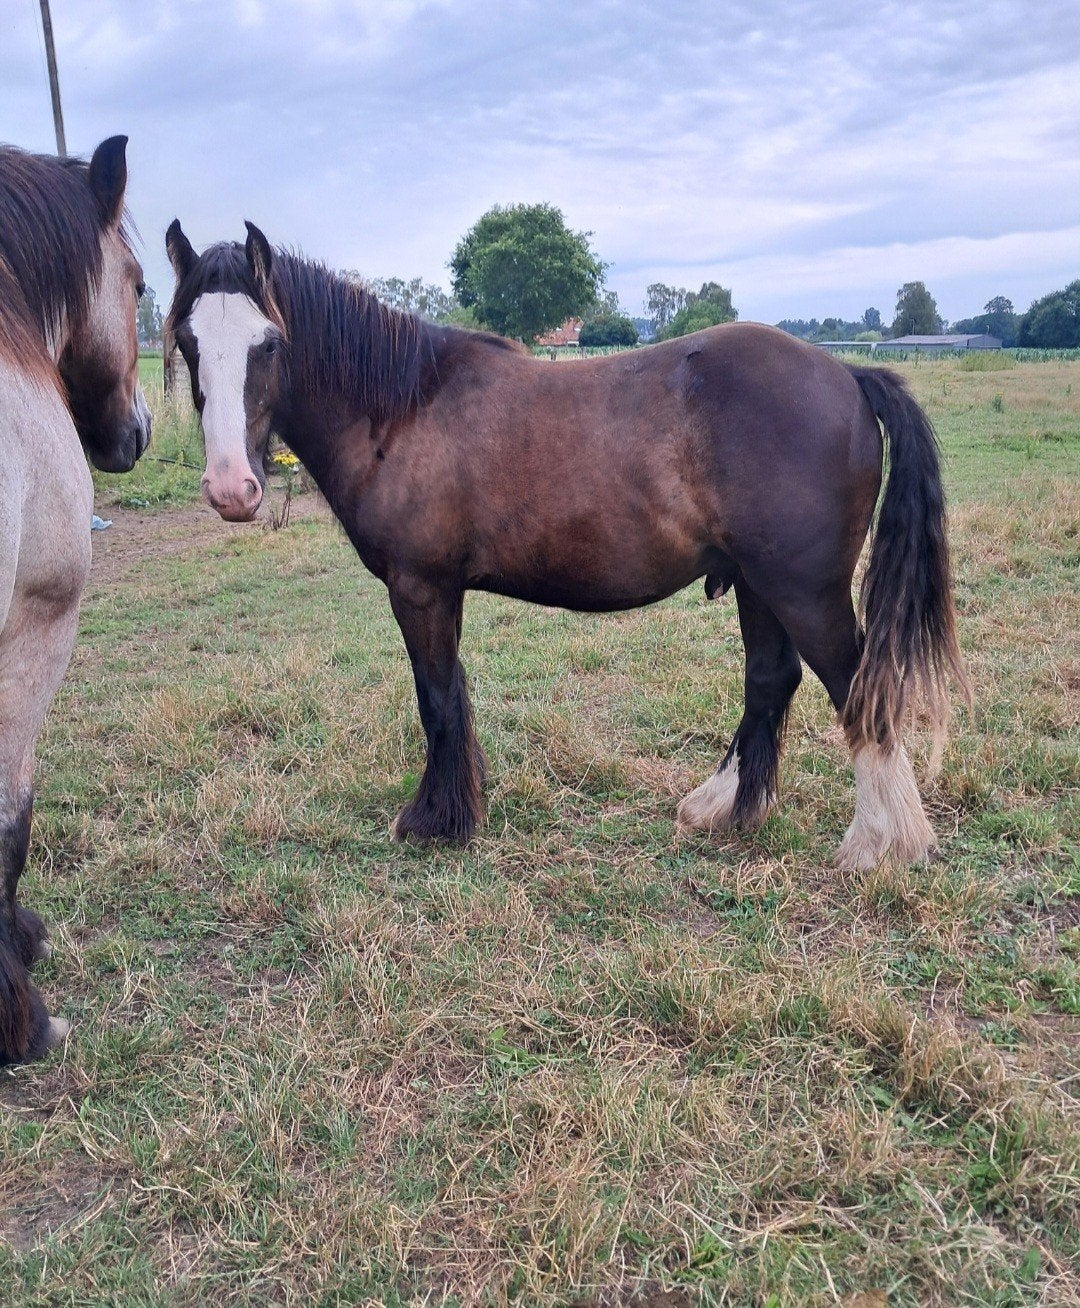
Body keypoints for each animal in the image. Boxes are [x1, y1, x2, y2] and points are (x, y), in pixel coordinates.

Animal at [164, 221, 969, 871]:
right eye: (186, 342)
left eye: (269, 343)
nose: (231, 488)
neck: (403, 406)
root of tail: (847, 373)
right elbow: (451, 695)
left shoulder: (421, 588)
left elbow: (436, 699)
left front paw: (434, 821)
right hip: (759, 581)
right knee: (772, 681)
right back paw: (723, 810)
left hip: (803, 588)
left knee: (858, 690)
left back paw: (881, 844)